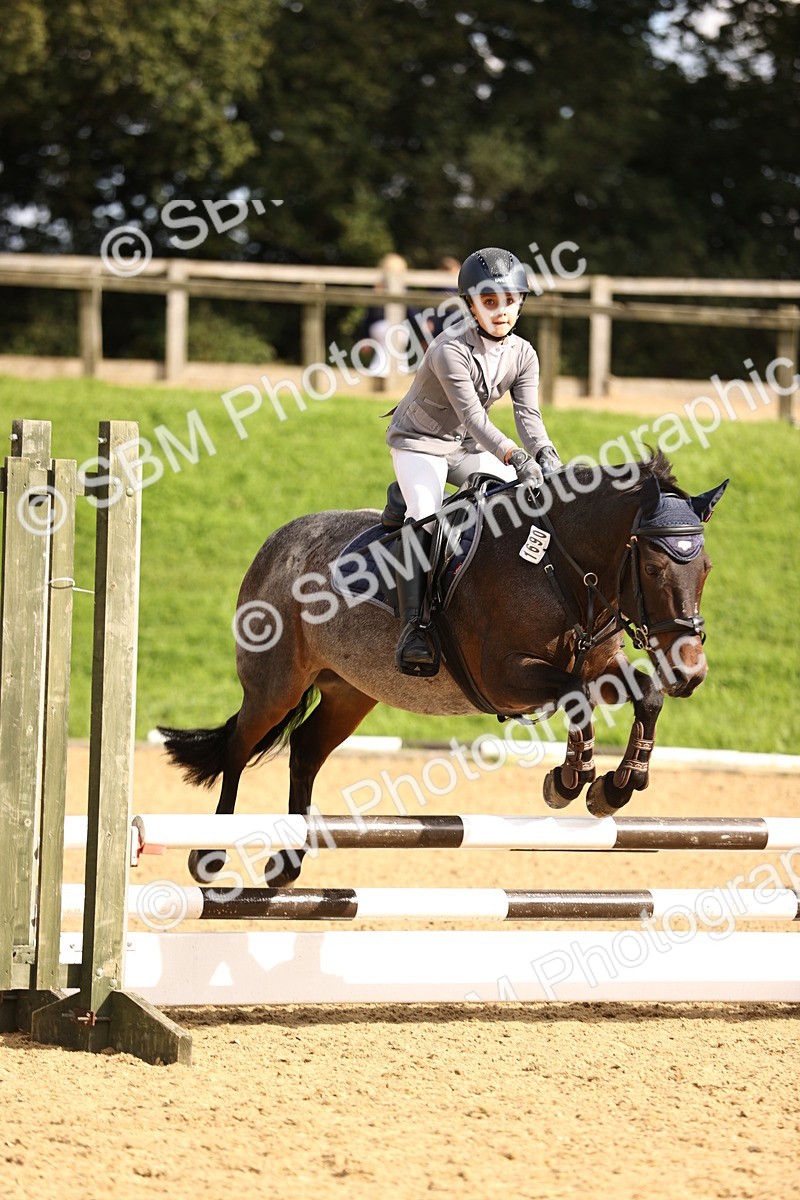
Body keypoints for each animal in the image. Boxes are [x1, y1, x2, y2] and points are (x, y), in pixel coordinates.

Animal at [159, 451, 728, 886]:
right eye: (653, 567)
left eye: (705, 568)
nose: (691, 673)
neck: (562, 569)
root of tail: (278, 543)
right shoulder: (508, 677)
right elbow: (576, 698)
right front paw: (571, 780)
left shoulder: (600, 666)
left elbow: (644, 694)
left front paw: (616, 786)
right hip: (274, 685)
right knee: (239, 747)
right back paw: (209, 856)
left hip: (350, 692)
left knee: (305, 752)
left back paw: (288, 863)